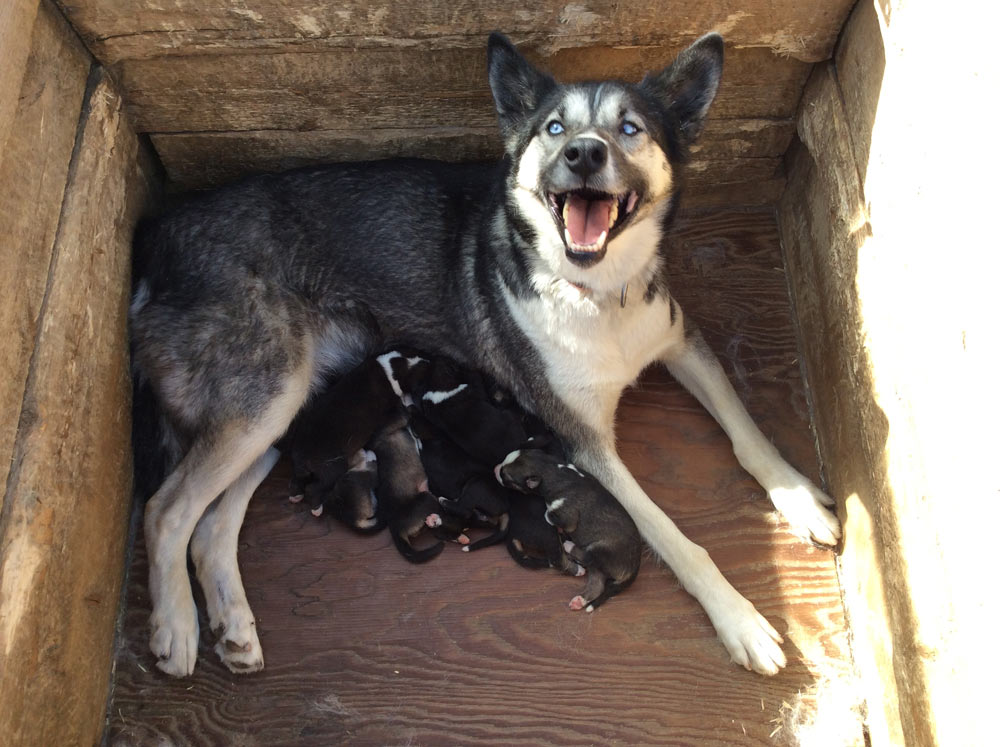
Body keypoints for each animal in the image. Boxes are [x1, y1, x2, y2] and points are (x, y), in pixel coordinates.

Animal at [498, 444, 640, 612]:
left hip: (601, 549)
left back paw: (568, 545)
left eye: (505, 477)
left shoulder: (567, 516)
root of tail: (634, 569)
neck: (552, 469)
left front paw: (553, 520)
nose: (495, 468)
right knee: (596, 584)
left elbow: (549, 513)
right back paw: (579, 601)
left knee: (587, 557)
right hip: (599, 568)